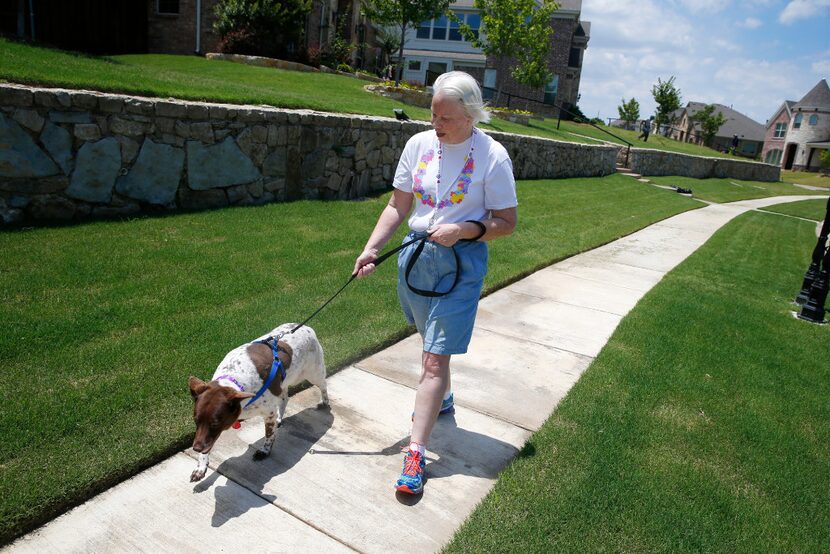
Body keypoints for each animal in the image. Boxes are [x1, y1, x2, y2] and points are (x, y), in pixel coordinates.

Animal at [188, 324, 328, 478]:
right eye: (195, 420)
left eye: (215, 423)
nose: (195, 448)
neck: (233, 381)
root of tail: (307, 327)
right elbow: (206, 446)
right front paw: (201, 466)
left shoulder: (269, 413)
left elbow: (269, 435)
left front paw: (265, 451)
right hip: (283, 383)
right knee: (285, 396)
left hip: (313, 373)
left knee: (323, 385)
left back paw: (325, 402)